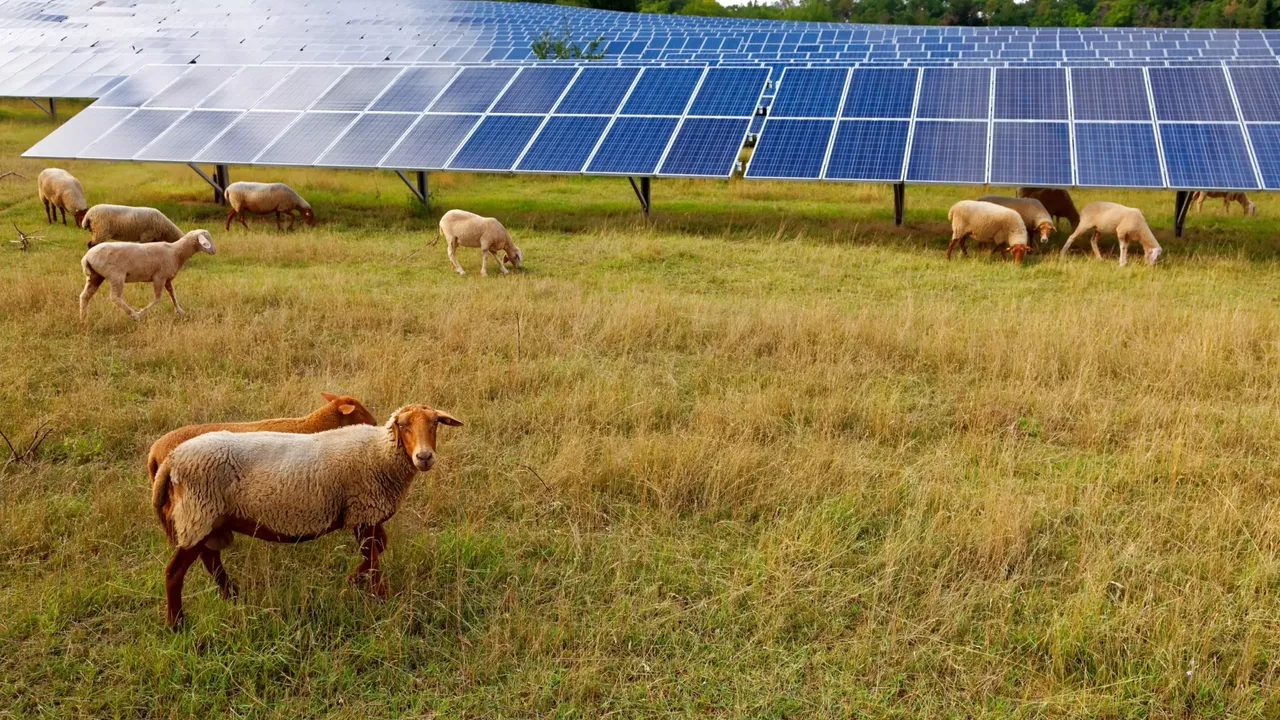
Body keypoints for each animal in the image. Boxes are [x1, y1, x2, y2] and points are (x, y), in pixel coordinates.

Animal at [79, 226, 216, 325]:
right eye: (207, 239)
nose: (214, 251)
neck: (176, 252)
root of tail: (87, 257)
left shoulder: (167, 278)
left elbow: (172, 294)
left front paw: (180, 311)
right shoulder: (159, 277)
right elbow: (157, 298)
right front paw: (141, 312)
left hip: (95, 276)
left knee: (85, 296)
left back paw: (83, 320)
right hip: (115, 275)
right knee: (115, 297)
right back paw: (133, 315)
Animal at [153, 399, 465, 625]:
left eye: (435, 424)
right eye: (403, 426)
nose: (424, 457)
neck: (380, 453)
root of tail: (170, 460)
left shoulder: (365, 515)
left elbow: (378, 549)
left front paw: (354, 580)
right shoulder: (363, 511)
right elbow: (374, 556)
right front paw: (380, 597)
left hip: (210, 519)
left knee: (211, 560)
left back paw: (232, 596)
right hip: (198, 514)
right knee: (174, 573)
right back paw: (176, 623)